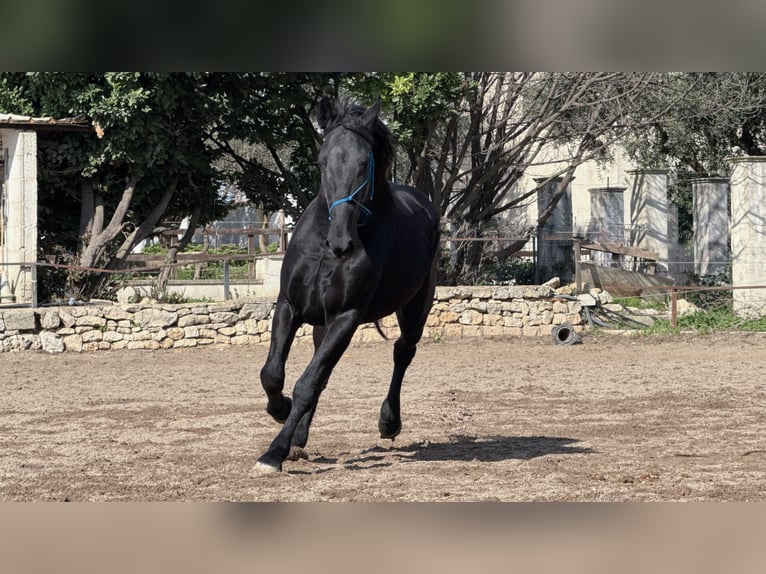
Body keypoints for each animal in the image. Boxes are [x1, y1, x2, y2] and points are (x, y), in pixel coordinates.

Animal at [254, 98, 440, 474]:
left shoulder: (346, 317)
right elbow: (273, 375)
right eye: (322, 160)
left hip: (414, 310)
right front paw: (280, 411)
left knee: (403, 352)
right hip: (321, 324)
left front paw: (273, 453)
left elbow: (306, 384)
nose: (342, 242)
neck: (324, 249)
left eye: (364, 163)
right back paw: (299, 438)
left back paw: (389, 423)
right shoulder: (290, 306)